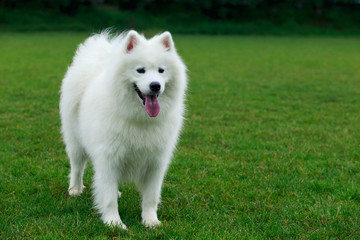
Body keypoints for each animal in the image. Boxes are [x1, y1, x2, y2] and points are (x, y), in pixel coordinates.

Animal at [59, 30, 187, 229]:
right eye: (140, 70)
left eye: (161, 70)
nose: (155, 85)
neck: (139, 119)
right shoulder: (109, 159)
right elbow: (109, 197)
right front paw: (114, 223)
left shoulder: (156, 163)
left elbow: (150, 197)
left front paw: (150, 221)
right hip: (76, 144)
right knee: (77, 167)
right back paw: (75, 189)